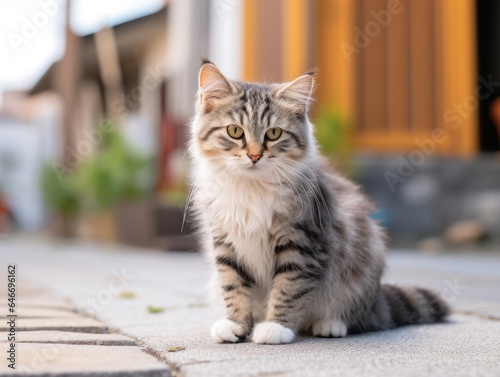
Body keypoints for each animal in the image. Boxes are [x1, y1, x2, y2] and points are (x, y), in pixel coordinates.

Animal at [188, 59, 450, 344]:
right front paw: (236, 325)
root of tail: (377, 299)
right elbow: (233, 287)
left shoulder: (302, 245)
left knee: (355, 316)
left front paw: (276, 327)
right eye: (235, 131)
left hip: (360, 269)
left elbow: (288, 289)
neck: (251, 187)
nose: (255, 156)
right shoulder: (225, 243)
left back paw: (329, 324)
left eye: (274, 133)